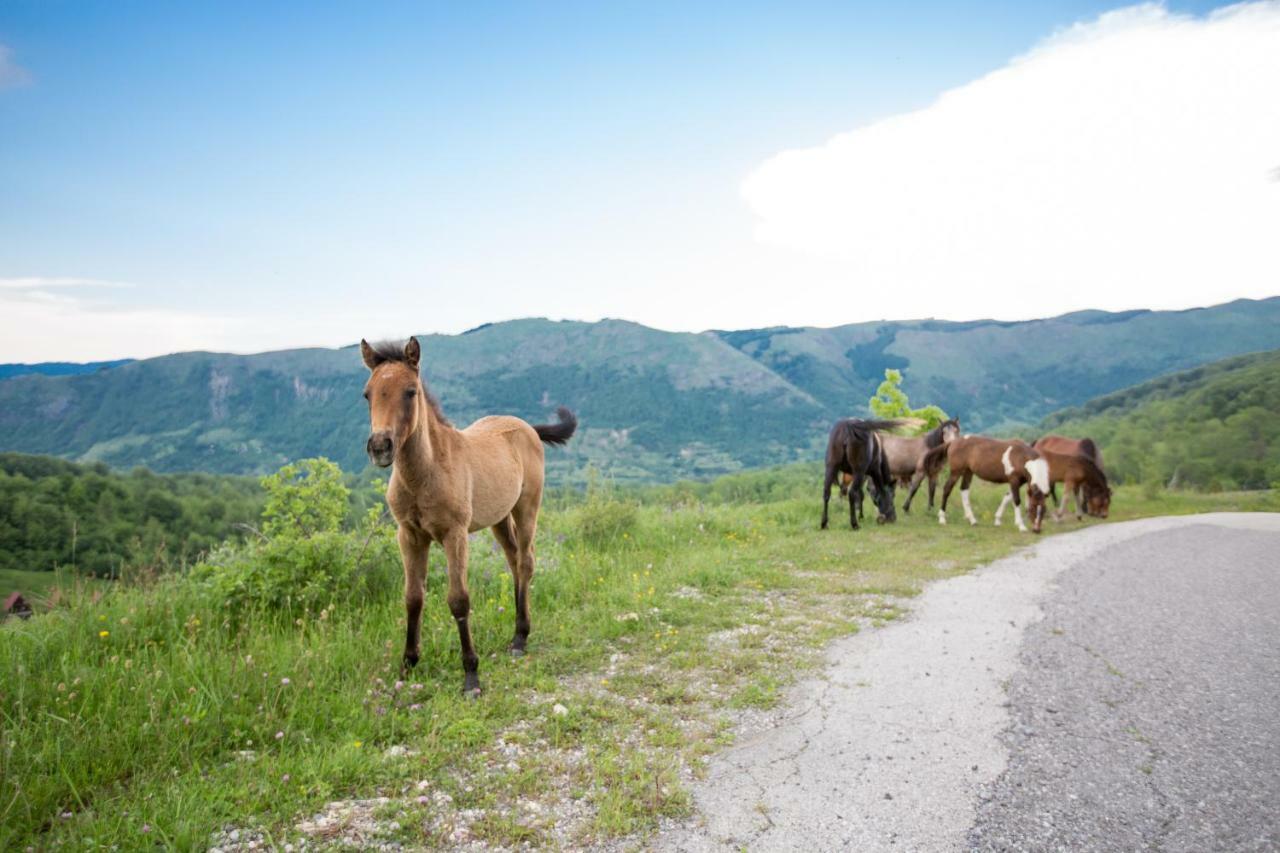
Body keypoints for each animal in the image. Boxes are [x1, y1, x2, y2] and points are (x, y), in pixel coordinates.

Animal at [363, 335, 578, 696]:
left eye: (411, 391)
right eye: (367, 393)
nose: (380, 446)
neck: (426, 472)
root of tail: (527, 427)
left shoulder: (455, 534)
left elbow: (458, 600)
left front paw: (471, 676)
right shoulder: (409, 535)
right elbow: (413, 598)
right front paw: (407, 666)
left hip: (527, 507)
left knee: (525, 562)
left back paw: (520, 638)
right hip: (498, 518)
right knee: (513, 560)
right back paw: (517, 631)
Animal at [921, 438, 1049, 532]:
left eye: (1044, 510)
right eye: (1032, 508)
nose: (1037, 530)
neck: (1022, 457)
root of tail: (953, 442)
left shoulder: (1018, 482)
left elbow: (1007, 498)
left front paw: (997, 520)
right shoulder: (1014, 480)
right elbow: (1016, 501)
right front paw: (1021, 526)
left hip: (968, 472)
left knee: (964, 490)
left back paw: (972, 520)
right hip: (956, 472)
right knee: (947, 489)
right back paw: (942, 519)